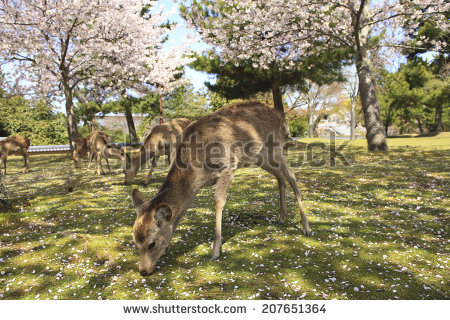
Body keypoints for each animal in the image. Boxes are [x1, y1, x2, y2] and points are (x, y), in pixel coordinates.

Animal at [132, 101, 312, 276]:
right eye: (135, 242)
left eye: (152, 243)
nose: (143, 271)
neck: (195, 173)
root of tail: (281, 118)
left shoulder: (227, 166)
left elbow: (218, 201)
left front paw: (215, 251)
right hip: (260, 157)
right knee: (280, 177)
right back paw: (281, 217)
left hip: (275, 148)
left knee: (292, 176)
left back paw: (306, 227)